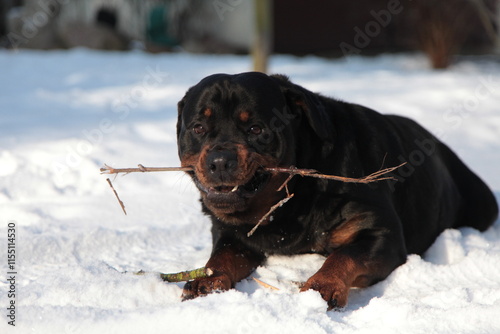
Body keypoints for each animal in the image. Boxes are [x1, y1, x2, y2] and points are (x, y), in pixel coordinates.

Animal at [176, 72, 496, 310]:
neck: (289, 201)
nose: (220, 160)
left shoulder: (381, 235)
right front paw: (207, 279)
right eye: (198, 127)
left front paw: (321, 285)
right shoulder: (231, 234)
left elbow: (343, 256)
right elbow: (220, 257)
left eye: (256, 129)